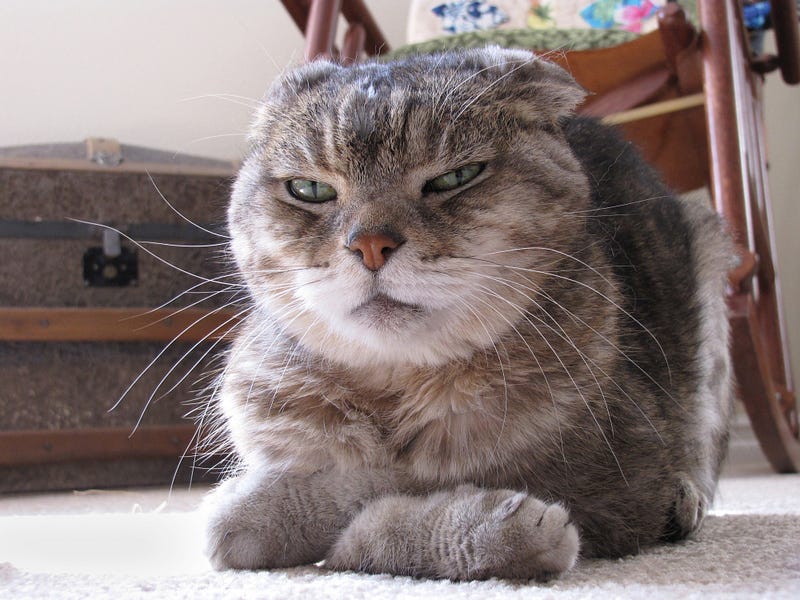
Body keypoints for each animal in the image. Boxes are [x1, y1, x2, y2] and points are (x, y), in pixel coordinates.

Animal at [200, 47, 732, 580]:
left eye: (454, 177)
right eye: (310, 189)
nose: (370, 244)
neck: (394, 392)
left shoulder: (622, 486)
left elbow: (385, 492)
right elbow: (334, 481)